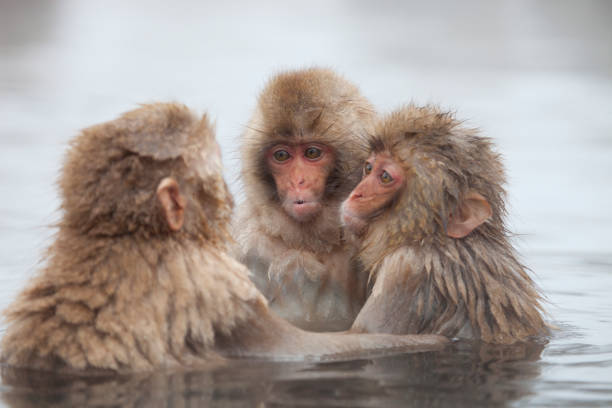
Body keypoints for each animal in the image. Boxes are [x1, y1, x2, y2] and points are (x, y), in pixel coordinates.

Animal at [1, 103, 450, 374]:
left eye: (313, 154)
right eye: (283, 156)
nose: (299, 182)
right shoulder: (222, 280)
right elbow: (304, 346)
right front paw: (436, 340)